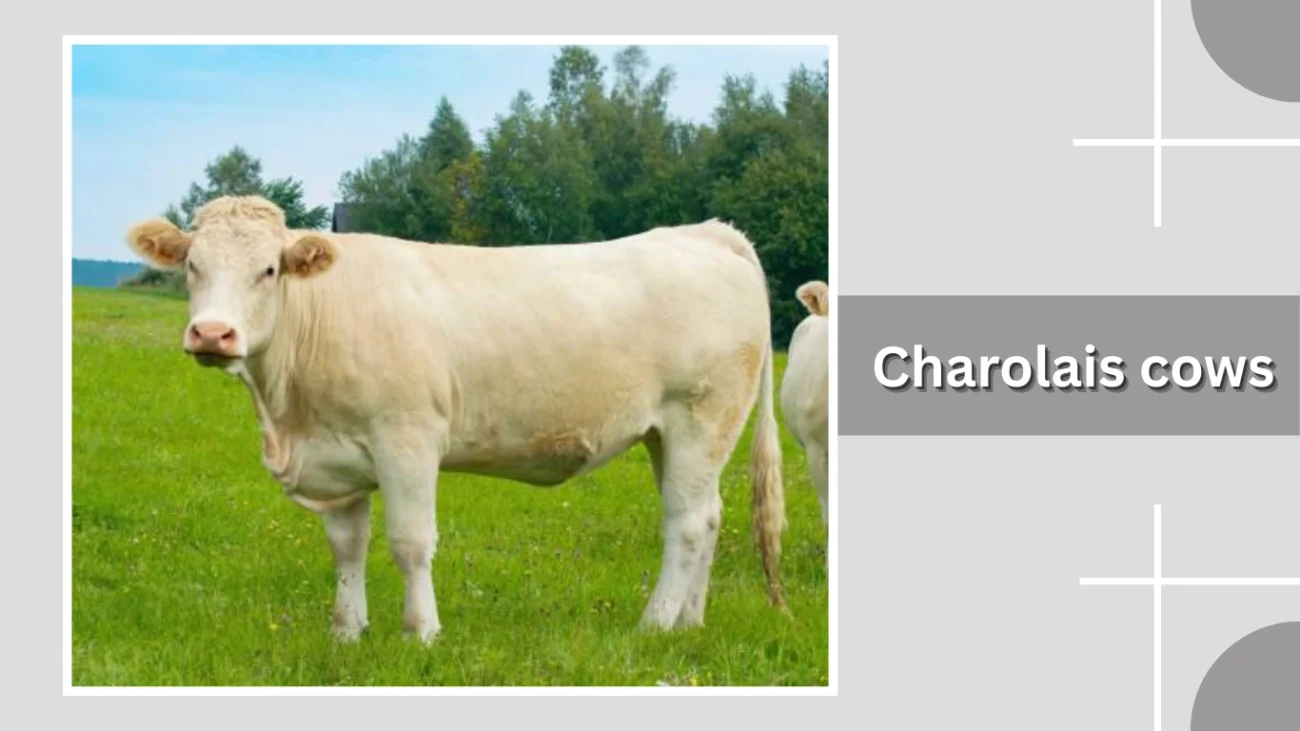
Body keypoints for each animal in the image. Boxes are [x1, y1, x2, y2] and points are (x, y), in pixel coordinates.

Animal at [125, 195, 787, 643]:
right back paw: (689, 623)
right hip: (670, 436)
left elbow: (410, 542)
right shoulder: (334, 459)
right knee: (709, 514)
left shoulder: (407, 438)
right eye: (192, 266)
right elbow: (347, 546)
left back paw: (654, 623)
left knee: (687, 524)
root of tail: (708, 232)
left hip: (700, 416)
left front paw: (421, 633)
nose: (213, 333)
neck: (288, 415)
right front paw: (347, 632)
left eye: (267, 270)